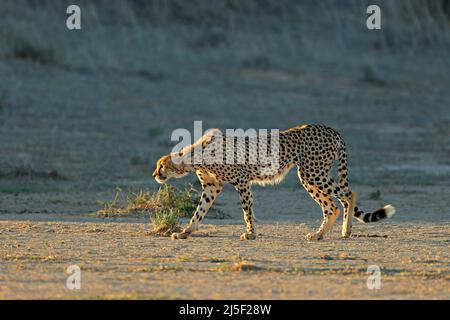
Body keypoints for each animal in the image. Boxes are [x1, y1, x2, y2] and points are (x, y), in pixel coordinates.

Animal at [153, 124, 396, 240]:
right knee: (332, 206)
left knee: (347, 195)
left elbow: (247, 211)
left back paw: (345, 230)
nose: (155, 174)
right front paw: (185, 232)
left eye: (161, 165)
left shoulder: (242, 181)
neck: (195, 155)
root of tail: (330, 129)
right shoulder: (213, 187)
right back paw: (319, 234)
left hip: (312, 173)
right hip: (308, 176)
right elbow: (199, 212)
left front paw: (251, 233)